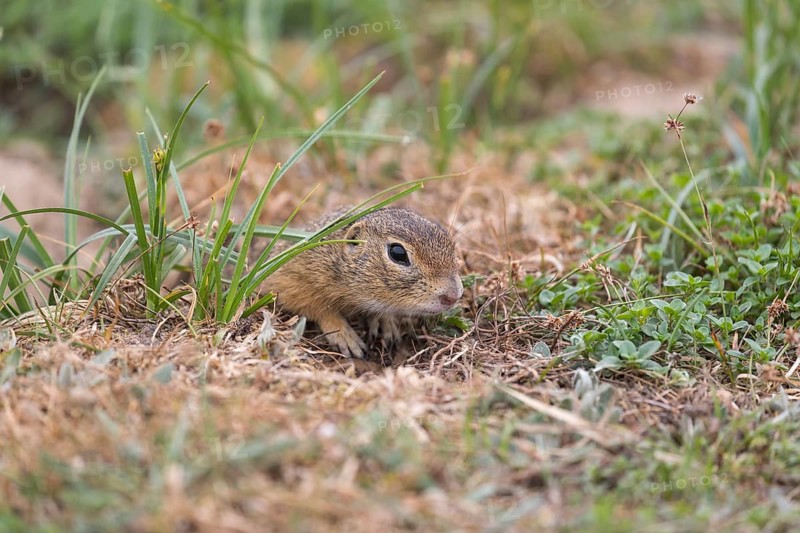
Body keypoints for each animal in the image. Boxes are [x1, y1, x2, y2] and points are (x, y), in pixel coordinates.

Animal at [264, 207, 463, 358]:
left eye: (445, 235)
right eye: (397, 253)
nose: (453, 296)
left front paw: (386, 324)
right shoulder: (292, 277)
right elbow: (319, 309)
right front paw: (347, 338)